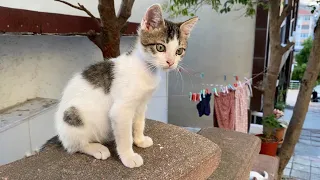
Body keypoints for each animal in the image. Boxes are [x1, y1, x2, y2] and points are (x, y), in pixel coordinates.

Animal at [54, 3, 199, 168]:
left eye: (179, 51)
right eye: (160, 47)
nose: (171, 62)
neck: (147, 69)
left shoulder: (141, 104)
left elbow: (139, 122)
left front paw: (140, 140)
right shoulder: (121, 110)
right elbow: (125, 137)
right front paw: (129, 157)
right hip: (73, 117)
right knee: (74, 146)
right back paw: (96, 148)